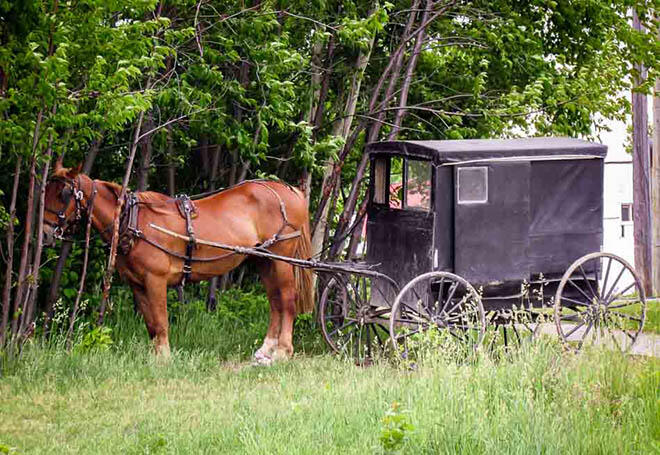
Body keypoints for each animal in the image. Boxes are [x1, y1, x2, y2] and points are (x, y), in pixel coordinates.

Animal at [42, 164, 316, 364]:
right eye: (45, 190)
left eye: (64, 194)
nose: (45, 233)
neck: (135, 221)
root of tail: (291, 191)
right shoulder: (137, 284)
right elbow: (151, 324)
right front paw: (154, 356)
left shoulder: (156, 280)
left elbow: (161, 320)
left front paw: (164, 358)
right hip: (265, 259)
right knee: (275, 302)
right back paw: (266, 349)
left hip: (281, 259)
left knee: (287, 299)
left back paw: (283, 350)